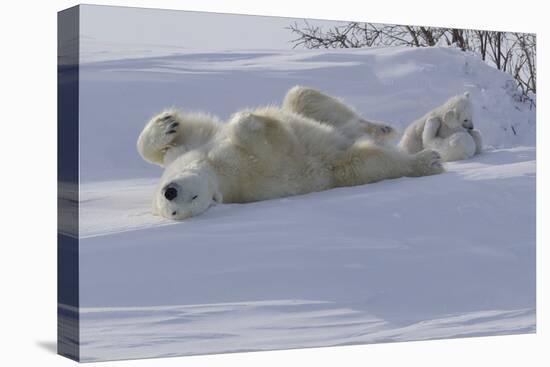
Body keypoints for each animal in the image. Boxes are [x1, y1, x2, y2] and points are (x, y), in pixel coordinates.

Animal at [138, 103, 444, 220]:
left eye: (192, 197)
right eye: (174, 211)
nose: (170, 191)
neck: (215, 170)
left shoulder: (193, 150)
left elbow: (171, 142)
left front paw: (167, 123)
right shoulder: (249, 170)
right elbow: (274, 145)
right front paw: (248, 121)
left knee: (305, 99)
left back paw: (381, 128)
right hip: (340, 169)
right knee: (366, 161)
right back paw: (427, 161)